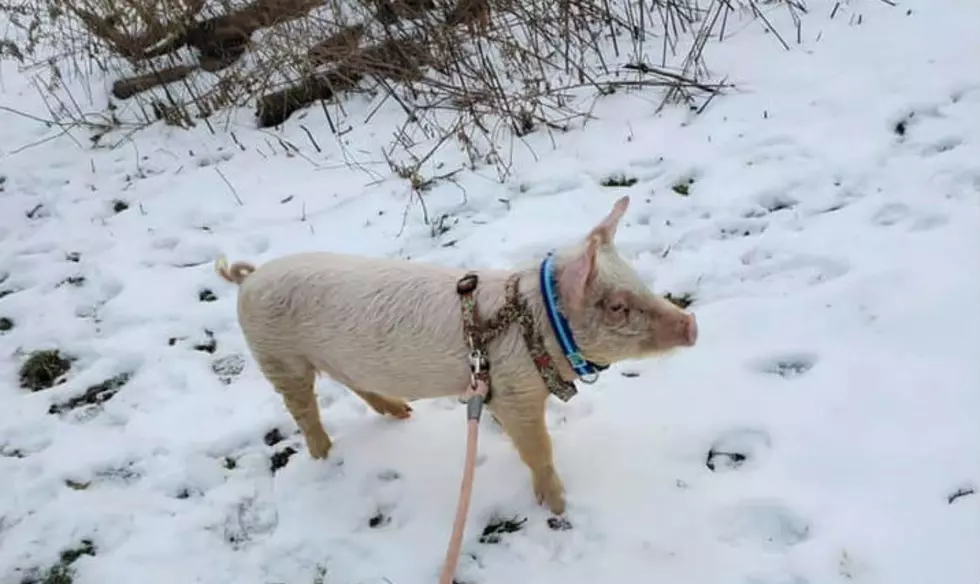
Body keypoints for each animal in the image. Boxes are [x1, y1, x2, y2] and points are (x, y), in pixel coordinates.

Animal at [216, 195, 697, 514]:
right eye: (616, 306)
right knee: (302, 408)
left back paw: (402, 413)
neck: (536, 326)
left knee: (354, 384)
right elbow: (538, 447)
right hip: (276, 357)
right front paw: (559, 507)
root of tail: (249, 279)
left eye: (638, 280)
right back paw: (326, 455)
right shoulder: (516, 391)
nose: (692, 324)